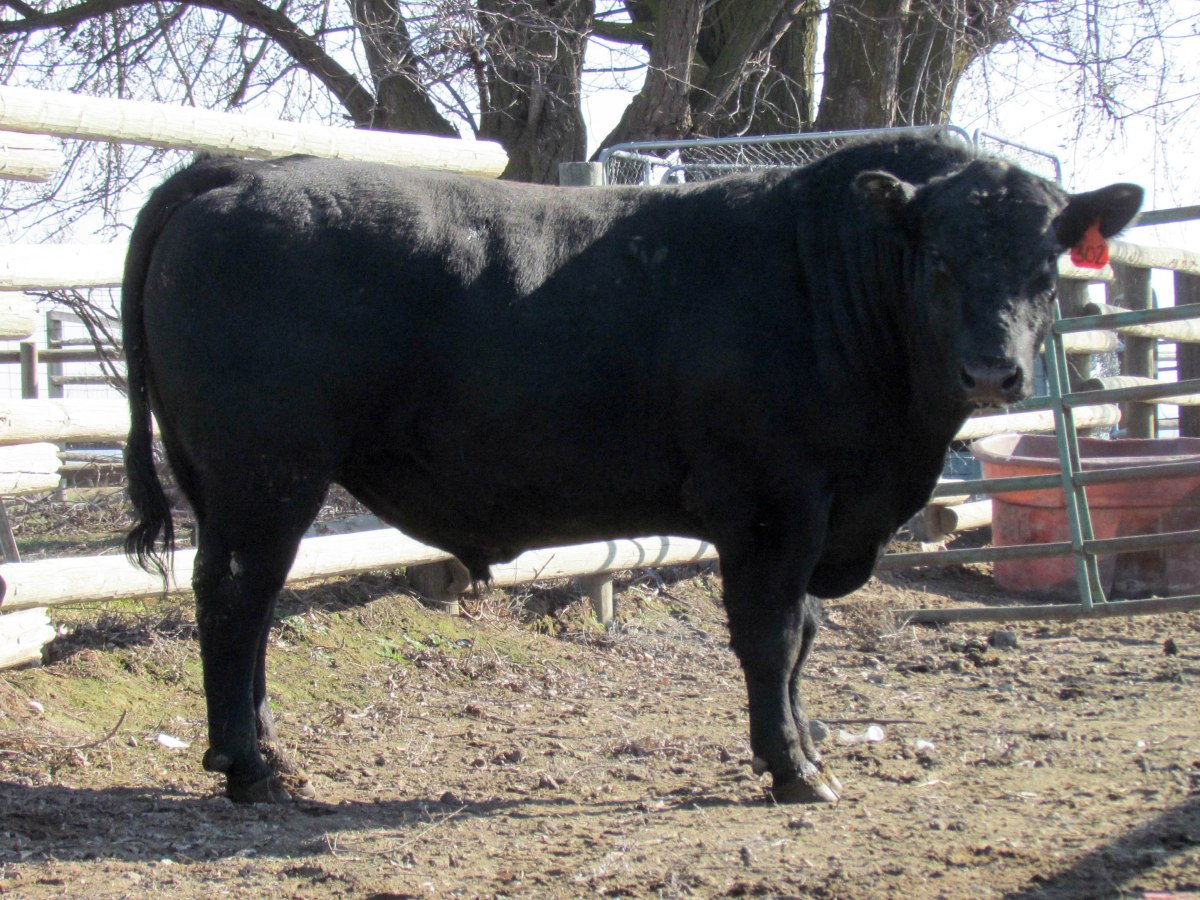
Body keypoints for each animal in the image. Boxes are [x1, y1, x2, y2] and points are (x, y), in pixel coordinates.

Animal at [122, 133, 1142, 804]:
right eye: (938, 257)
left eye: (1048, 264)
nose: (993, 370)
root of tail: (247, 168)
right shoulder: (775, 504)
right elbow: (772, 637)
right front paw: (793, 769)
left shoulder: (816, 516)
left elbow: (806, 636)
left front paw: (806, 745)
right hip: (267, 471)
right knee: (236, 598)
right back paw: (251, 769)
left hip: (229, 475)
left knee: (243, 607)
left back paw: (268, 754)